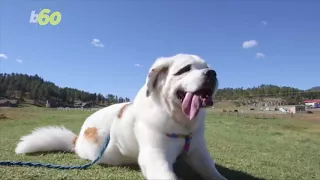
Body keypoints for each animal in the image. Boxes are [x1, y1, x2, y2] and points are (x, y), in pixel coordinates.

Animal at [15, 53, 228, 180]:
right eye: (185, 69)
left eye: (206, 66)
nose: (212, 73)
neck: (181, 124)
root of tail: (77, 138)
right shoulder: (155, 156)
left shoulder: (199, 152)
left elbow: (213, 172)